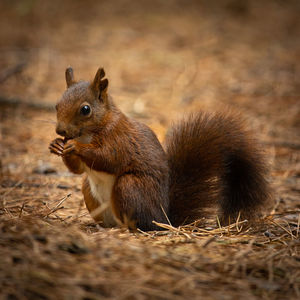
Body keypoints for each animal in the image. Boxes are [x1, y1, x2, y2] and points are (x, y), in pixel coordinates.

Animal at [49, 68, 272, 231]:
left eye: (85, 109)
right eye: (56, 105)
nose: (60, 130)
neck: (89, 132)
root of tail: (164, 218)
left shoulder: (119, 138)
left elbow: (109, 158)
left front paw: (75, 146)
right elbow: (78, 169)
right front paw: (56, 145)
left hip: (130, 187)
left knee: (142, 223)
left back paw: (128, 228)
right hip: (89, 191)